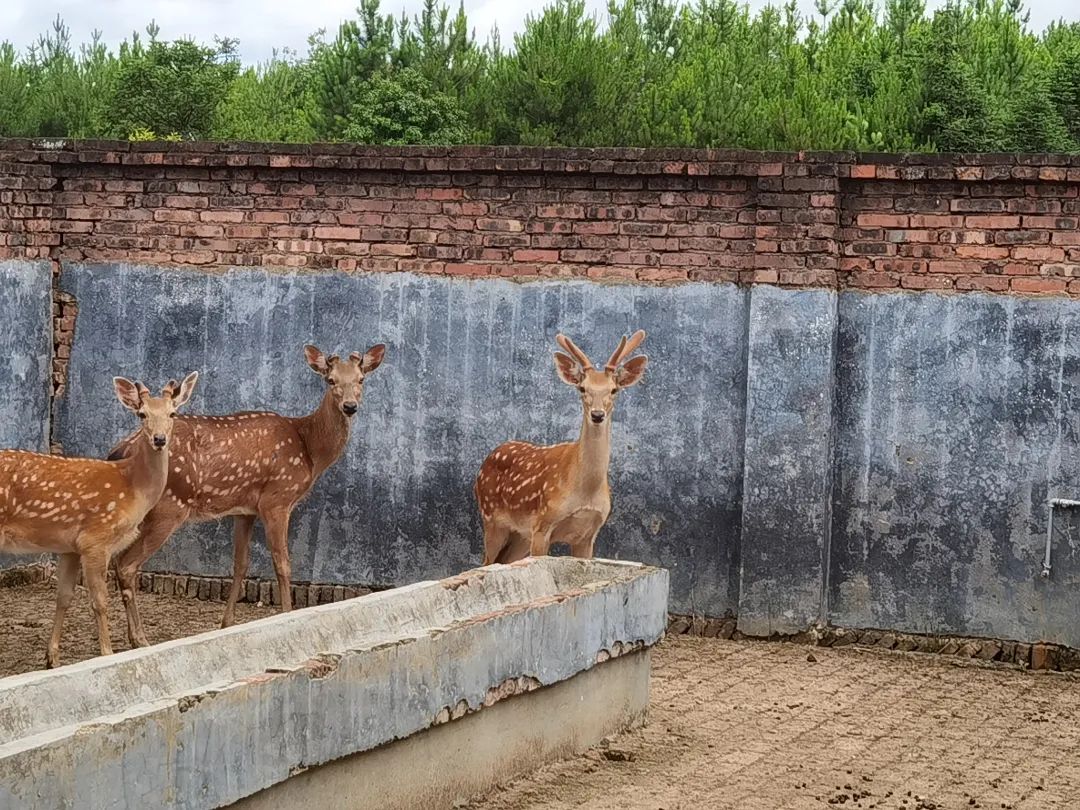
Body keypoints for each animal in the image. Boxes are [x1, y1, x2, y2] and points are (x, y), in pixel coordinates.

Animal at [0, 371, 198, 669]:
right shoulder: (96, 539)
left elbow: (64, 597)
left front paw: (52, 658)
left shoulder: (70, 546)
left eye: (173, 413)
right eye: (141, 414)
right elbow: (100, 601)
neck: (131, 487)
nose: (160, 439)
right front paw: (107, 654)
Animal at [109, 343, 386, 648]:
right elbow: (282, 564)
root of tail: (120, 451)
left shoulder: (245, 509)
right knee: (125, 565)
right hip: (169, 507)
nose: (350, 406)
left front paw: (226, 624)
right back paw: (140, 640)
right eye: (330, 380)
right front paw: (287, 616)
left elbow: (240, 565)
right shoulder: (277, 499)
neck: (309, 449)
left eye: (361, 379)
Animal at [475, 330, 643, 565]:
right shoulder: (542, 523)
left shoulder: (589, 533)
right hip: (491, 518)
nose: (597, 415)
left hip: (520, 536)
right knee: (486, 562)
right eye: (582, 388)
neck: (585, 490)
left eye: (614, 389)